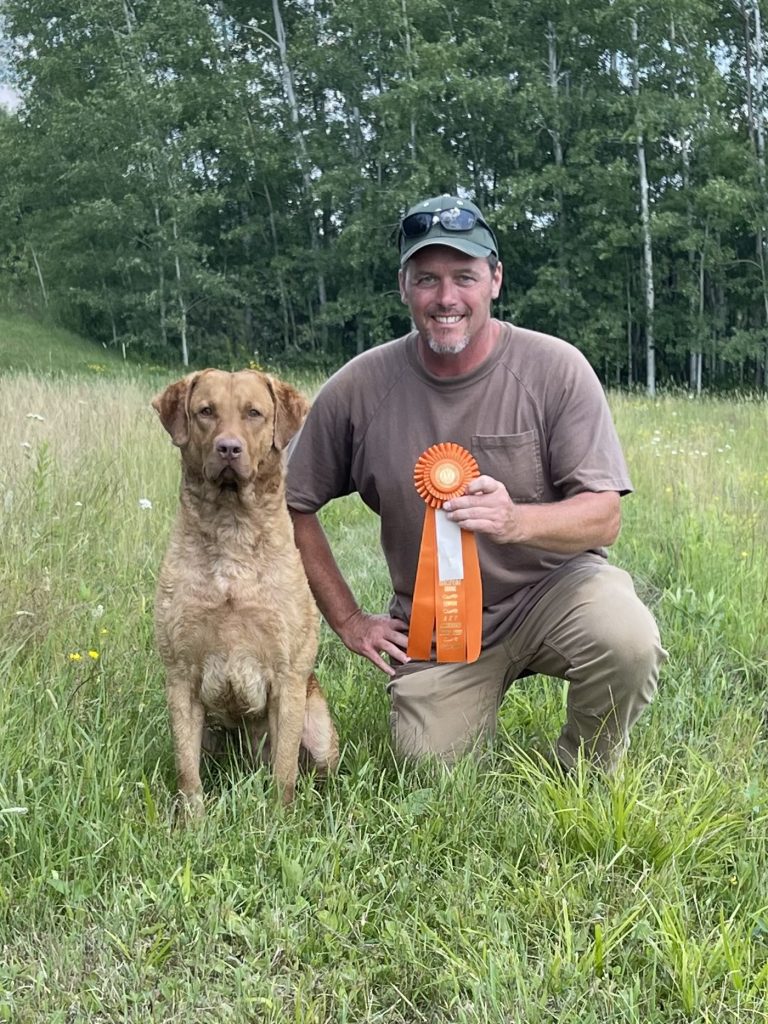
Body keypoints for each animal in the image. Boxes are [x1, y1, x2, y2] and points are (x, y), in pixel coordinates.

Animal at [152, 368, 338, 816]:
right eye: (206, 411)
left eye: (254, 413)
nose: (228, 448)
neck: (231, 527)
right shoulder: (180, 675)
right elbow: (187, 769)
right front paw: (192, 822)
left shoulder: (287, 677)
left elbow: (284, 767)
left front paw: (279, 819)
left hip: (320, 731)